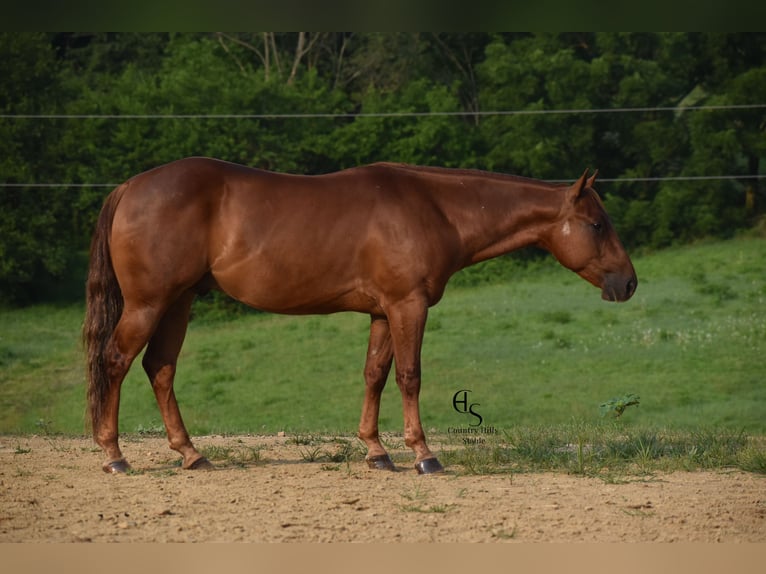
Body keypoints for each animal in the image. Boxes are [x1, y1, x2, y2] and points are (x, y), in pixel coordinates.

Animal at [84, 157, 637, 475]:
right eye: (597, 224)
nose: (629, 283)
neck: (435, 208)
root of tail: (130, 187)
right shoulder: (408, 305)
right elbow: (410, 376)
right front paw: (423, 455)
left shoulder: (382, 312)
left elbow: (375, 374)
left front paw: (377, 452)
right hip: (151, 303)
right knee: (116, 362)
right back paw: (114, 457)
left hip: (178, 302)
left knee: (160, 368)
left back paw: (192, 454)